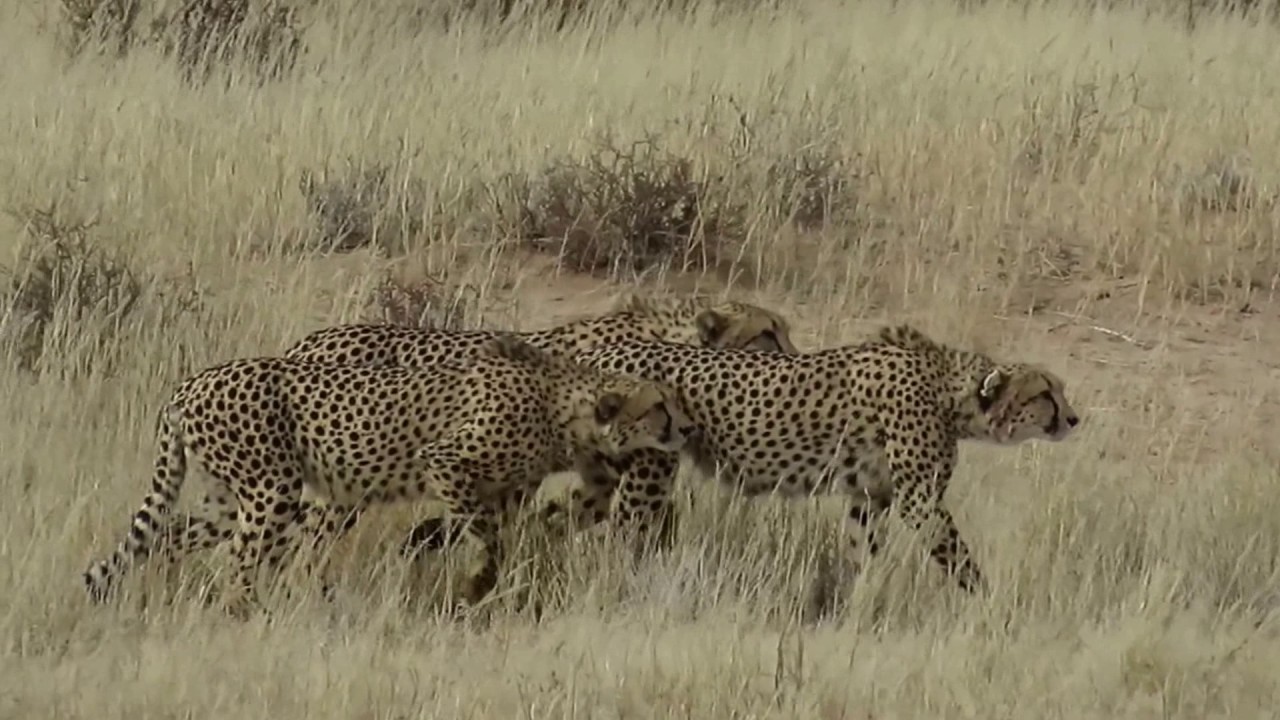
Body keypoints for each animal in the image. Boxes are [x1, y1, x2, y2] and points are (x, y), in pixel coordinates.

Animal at [81, 336, 696, 618]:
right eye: (658, 406)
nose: (687, 427)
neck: (564, 405)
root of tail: (191, 384)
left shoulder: (519, 485)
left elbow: (524, 526)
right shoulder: (444, 460)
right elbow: (486, 533)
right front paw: (479, 582)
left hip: (227, 498)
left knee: (168, 535)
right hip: (271, 490)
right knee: (241, 562)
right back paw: (253, 615)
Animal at [561, 323, 1081, 592]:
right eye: (1045, 393)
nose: (1074, 418)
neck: (948, 389)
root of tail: (605, 348)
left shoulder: (871, 496)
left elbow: (861, 554)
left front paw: (856, 606)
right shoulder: (918, 499)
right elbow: (958, 556)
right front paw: (990, 603)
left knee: (561, 514)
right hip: (648, 473)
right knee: (619, 537)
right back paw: (614, 586)